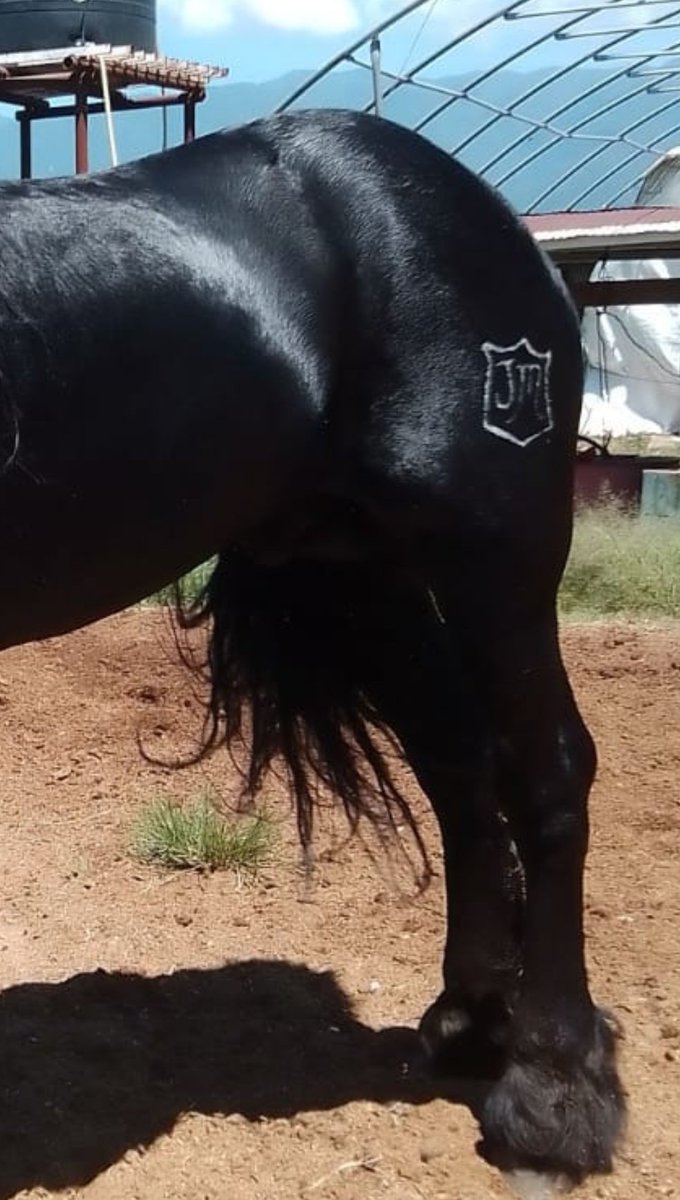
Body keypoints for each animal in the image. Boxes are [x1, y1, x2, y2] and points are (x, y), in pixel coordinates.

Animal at [0, 107, 624, 1182]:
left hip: (496, 554)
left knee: (545, 773)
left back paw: (554, 1098)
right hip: (358, 570)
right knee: (460, 767)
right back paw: (470, 1024)